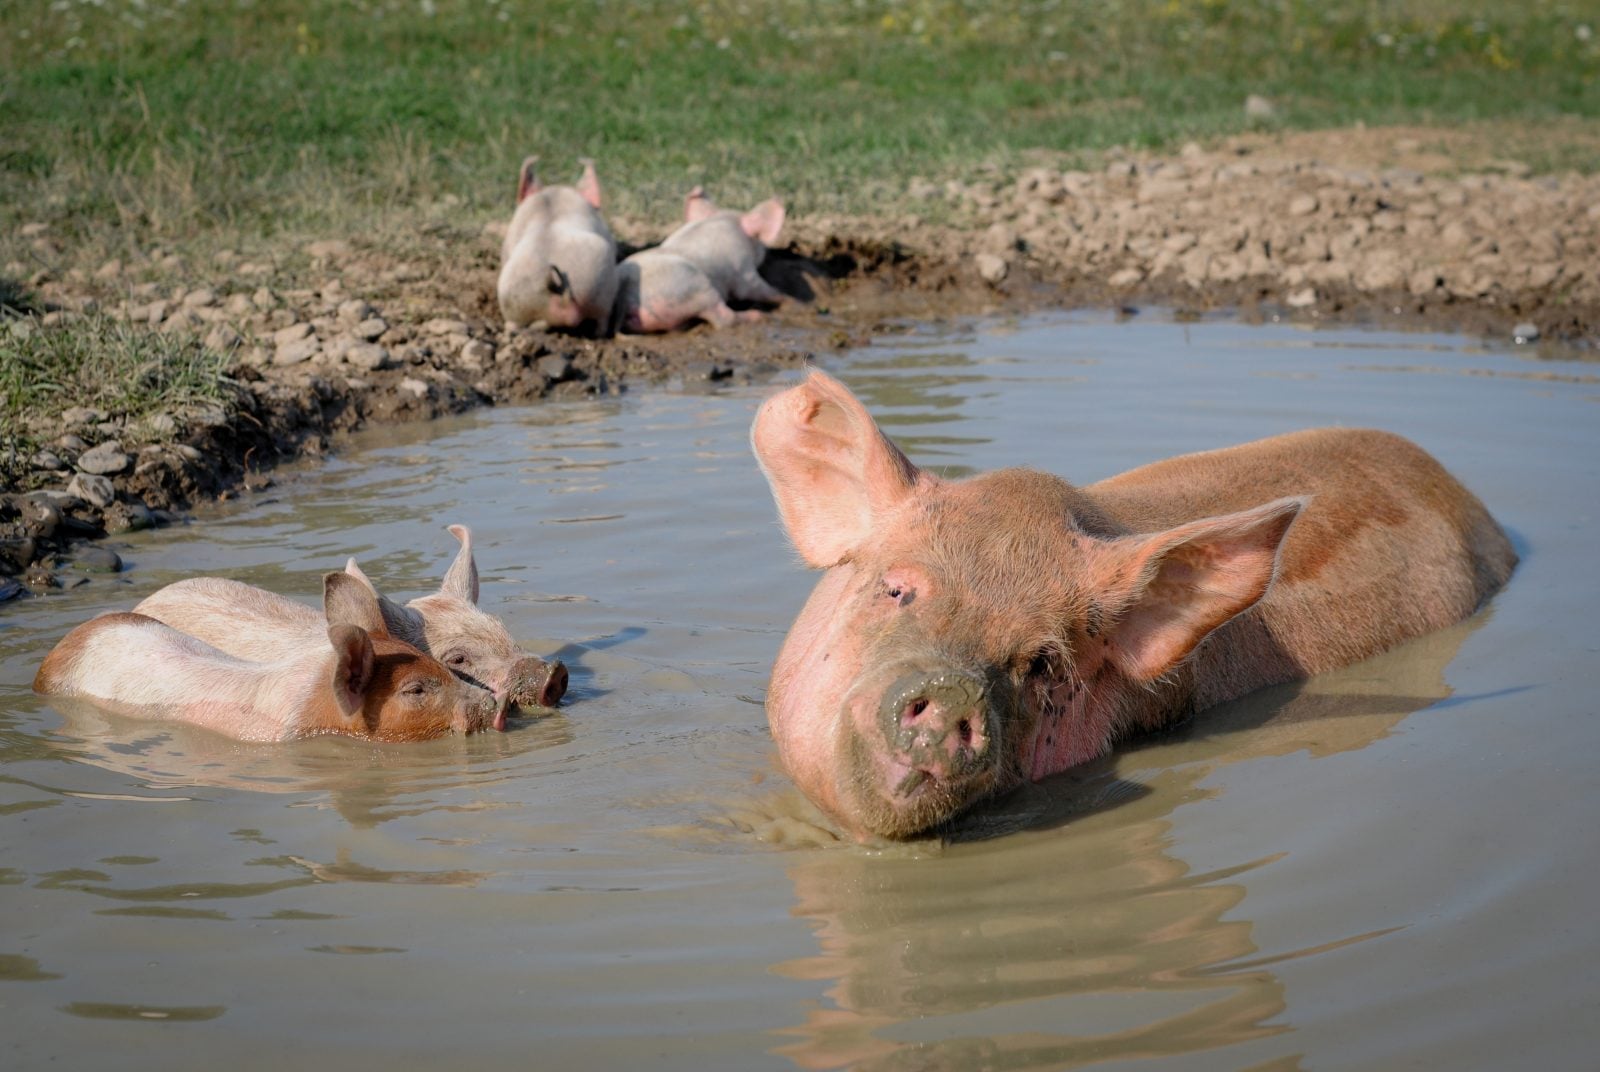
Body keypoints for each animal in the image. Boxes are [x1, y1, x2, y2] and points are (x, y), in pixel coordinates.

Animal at [615, 187, 786, 334]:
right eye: (760, 242)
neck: (721, 220)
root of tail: (624, 295)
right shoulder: (743, 271)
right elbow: (754, 289)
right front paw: (783, 298)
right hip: (699, 290)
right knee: (723, 318)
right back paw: (758, 316)